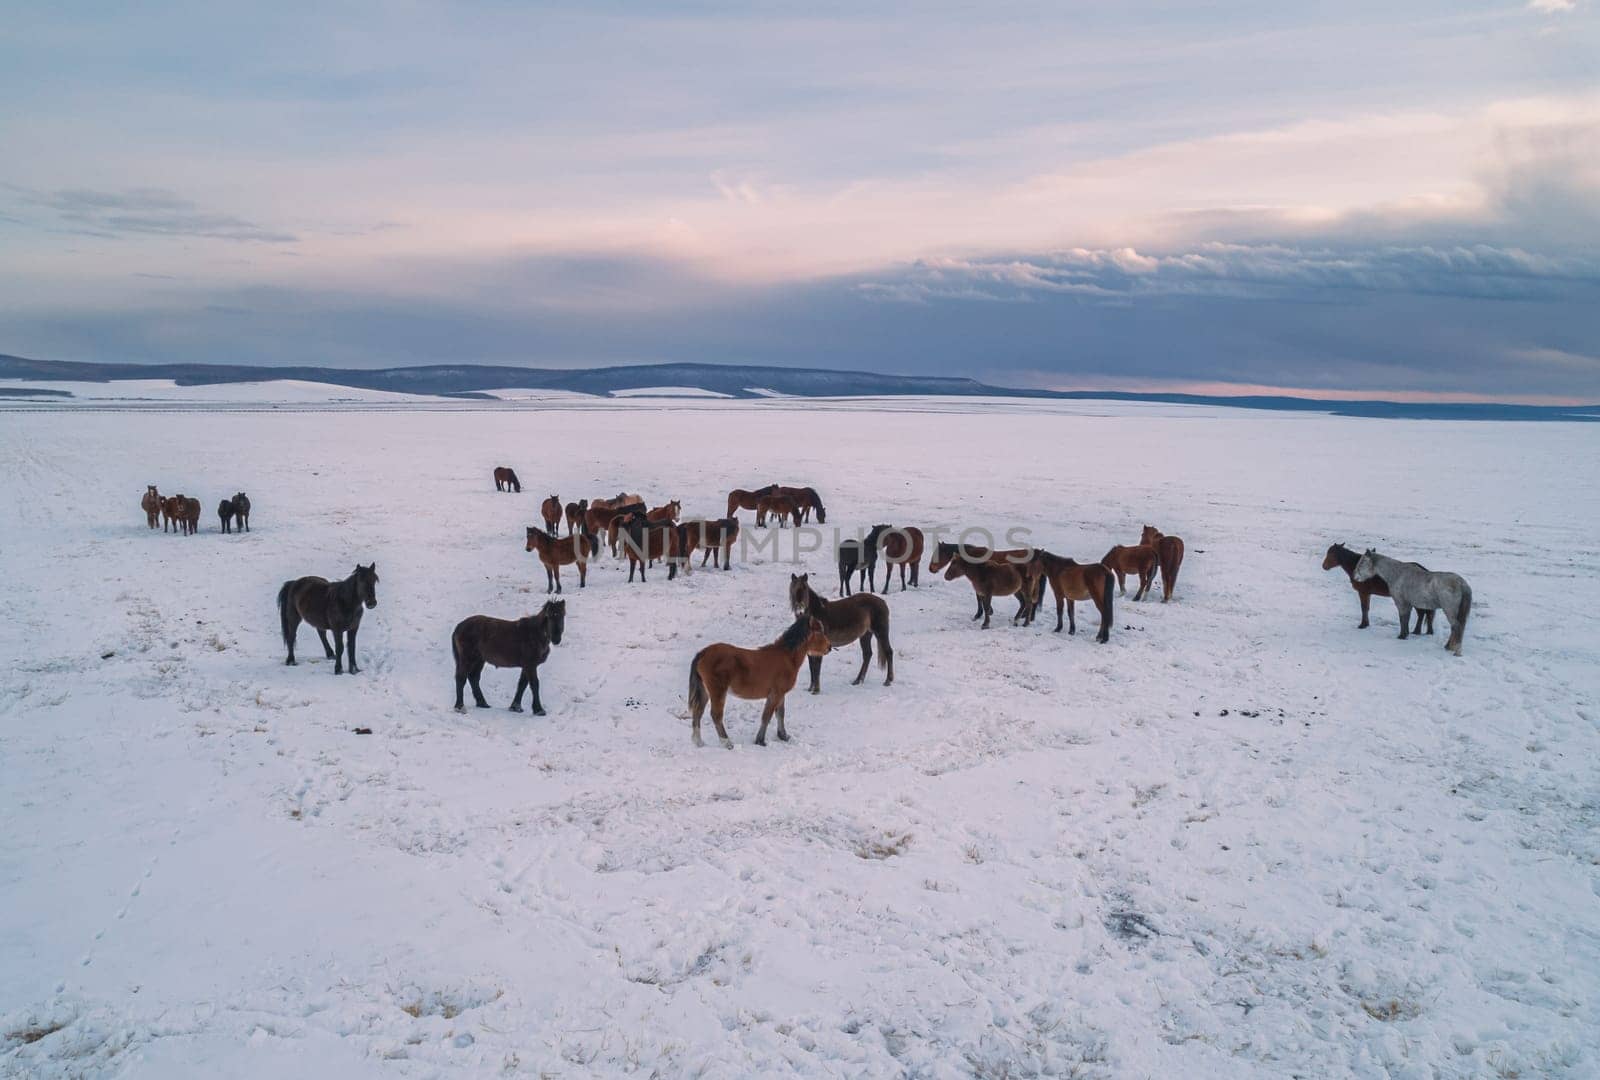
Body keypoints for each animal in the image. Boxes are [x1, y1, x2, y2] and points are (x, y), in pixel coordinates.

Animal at [688, 611, 838, 748]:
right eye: (819, 632)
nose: (829, 647)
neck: (787, 657)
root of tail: (703, 653)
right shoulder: (775, 694)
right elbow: (767, 716)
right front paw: (760, 740)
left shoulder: (780, 694)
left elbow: (780, 714)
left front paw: (783, 736)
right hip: (718, 691)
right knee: (716, 715)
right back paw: (727, 743)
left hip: (705, 691)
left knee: (698, 712)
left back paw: (698, 742)